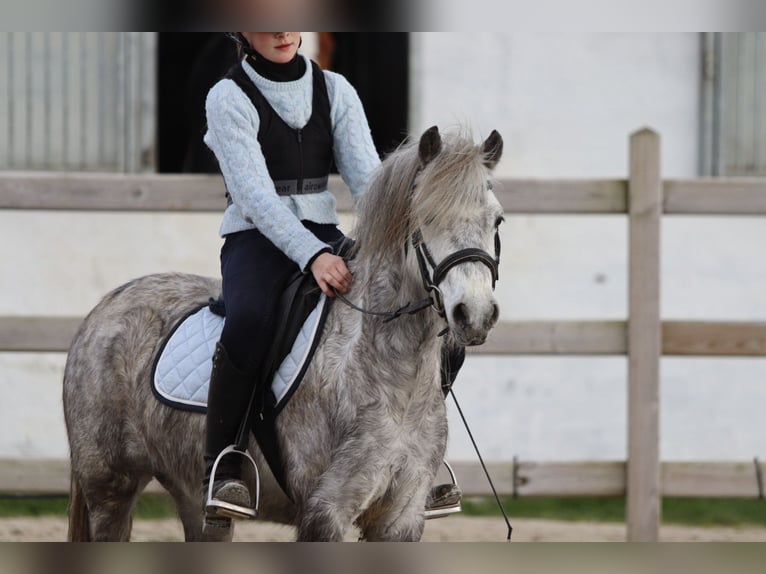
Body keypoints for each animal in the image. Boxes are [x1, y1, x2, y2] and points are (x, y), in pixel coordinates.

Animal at [63, 125, 505, 542]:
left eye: (497, 220)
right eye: (425, 217)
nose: (475, 313)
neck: (391, 376)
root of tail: (105, 307)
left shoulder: (401, 518)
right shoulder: (325, 513)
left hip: (192, 496)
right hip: (110, 488)